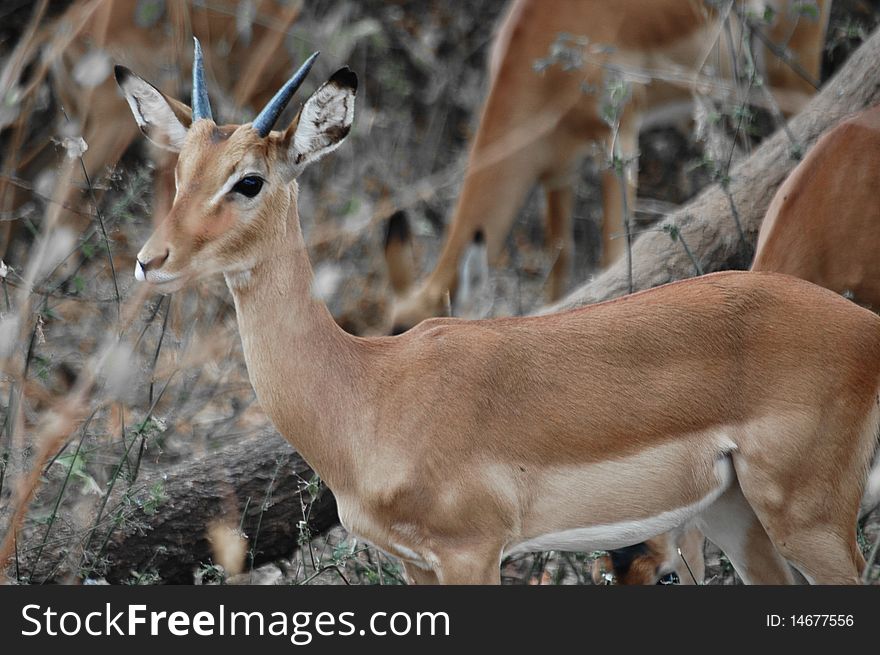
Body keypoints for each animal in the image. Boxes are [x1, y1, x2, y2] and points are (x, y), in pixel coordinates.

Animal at [118, 42, 880, 584]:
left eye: (248, 181)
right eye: (180, 172)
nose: (149, 260)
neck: (366, 390)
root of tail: (864, 330)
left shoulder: (472, 552)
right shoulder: (416, 565)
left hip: (810, 521)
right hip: (735, 513)